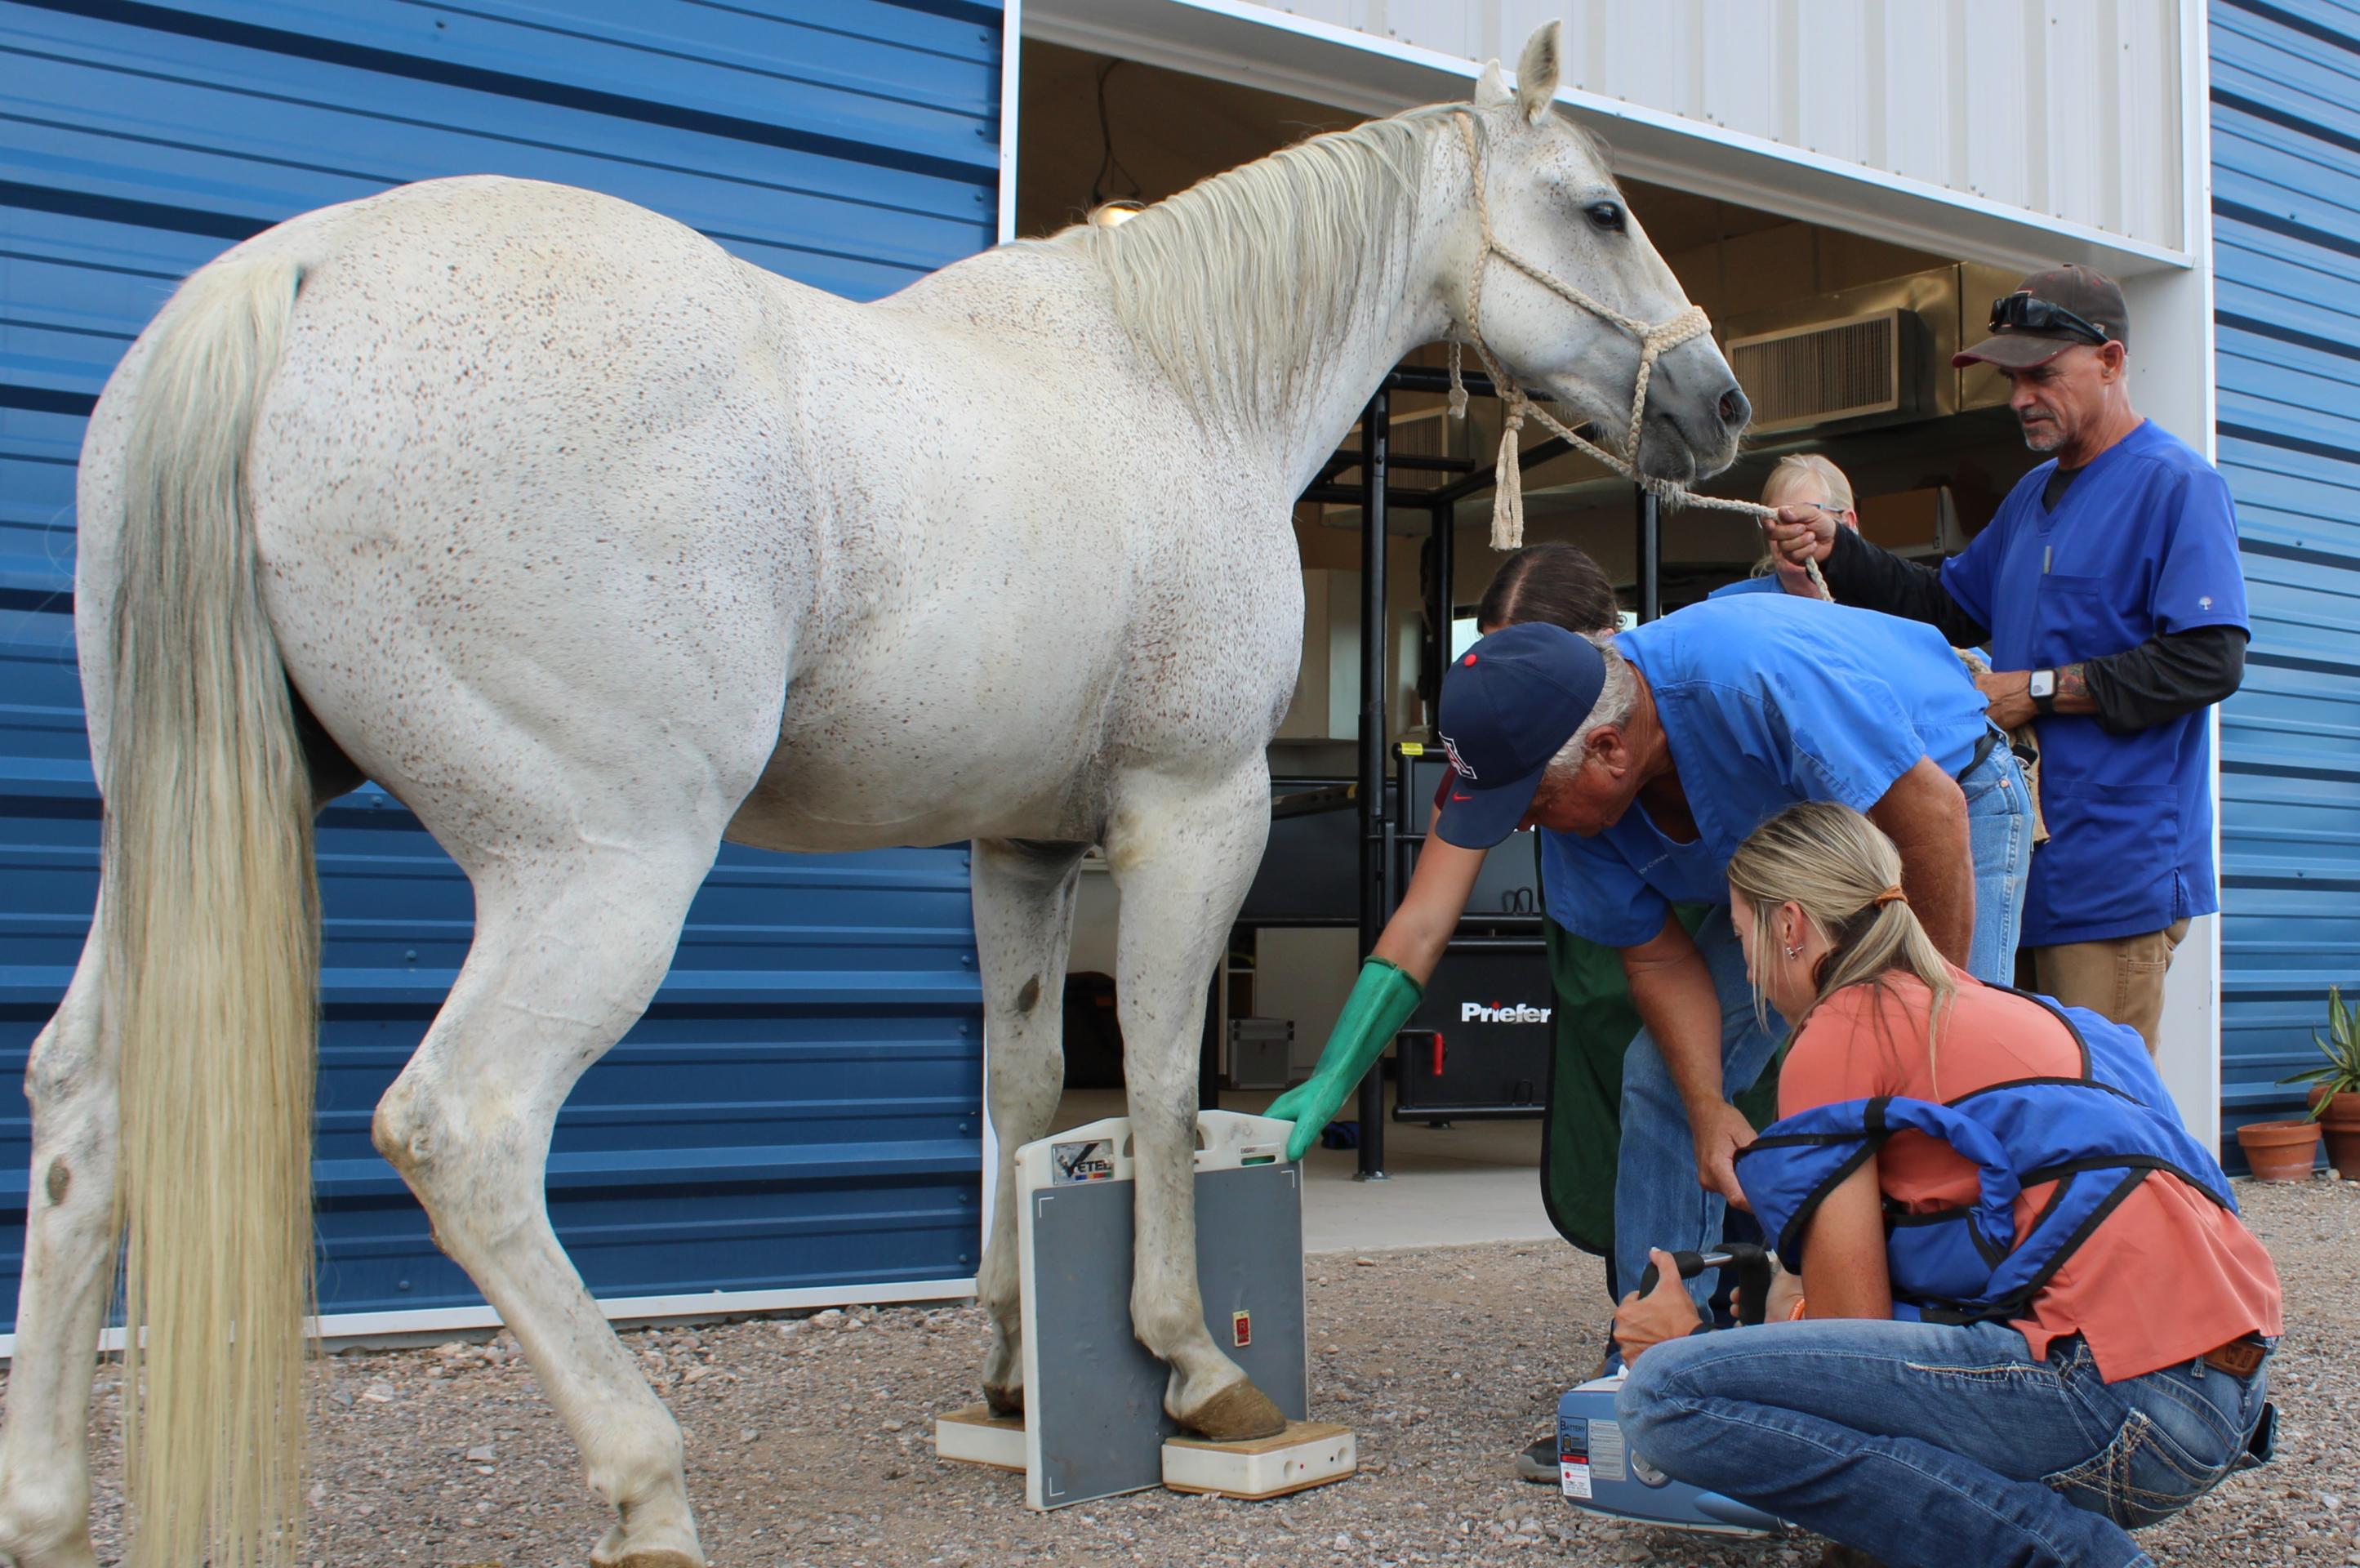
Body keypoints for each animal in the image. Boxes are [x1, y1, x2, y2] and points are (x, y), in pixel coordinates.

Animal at [0, 24, 1737, 1568]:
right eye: (1602, 209)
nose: (1716, 403)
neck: (1181, 390)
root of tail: (294, 276)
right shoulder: (1193, 819)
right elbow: (1159, 1086)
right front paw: (1196, 1371)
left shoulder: (1021, 849)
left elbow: (1029, 1091)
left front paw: (1017, 1378)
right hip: (599, 870)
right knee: (464, 1131)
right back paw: (646, 1490)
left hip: (184, 842)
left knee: (83, 1103)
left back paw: (52, 1516)